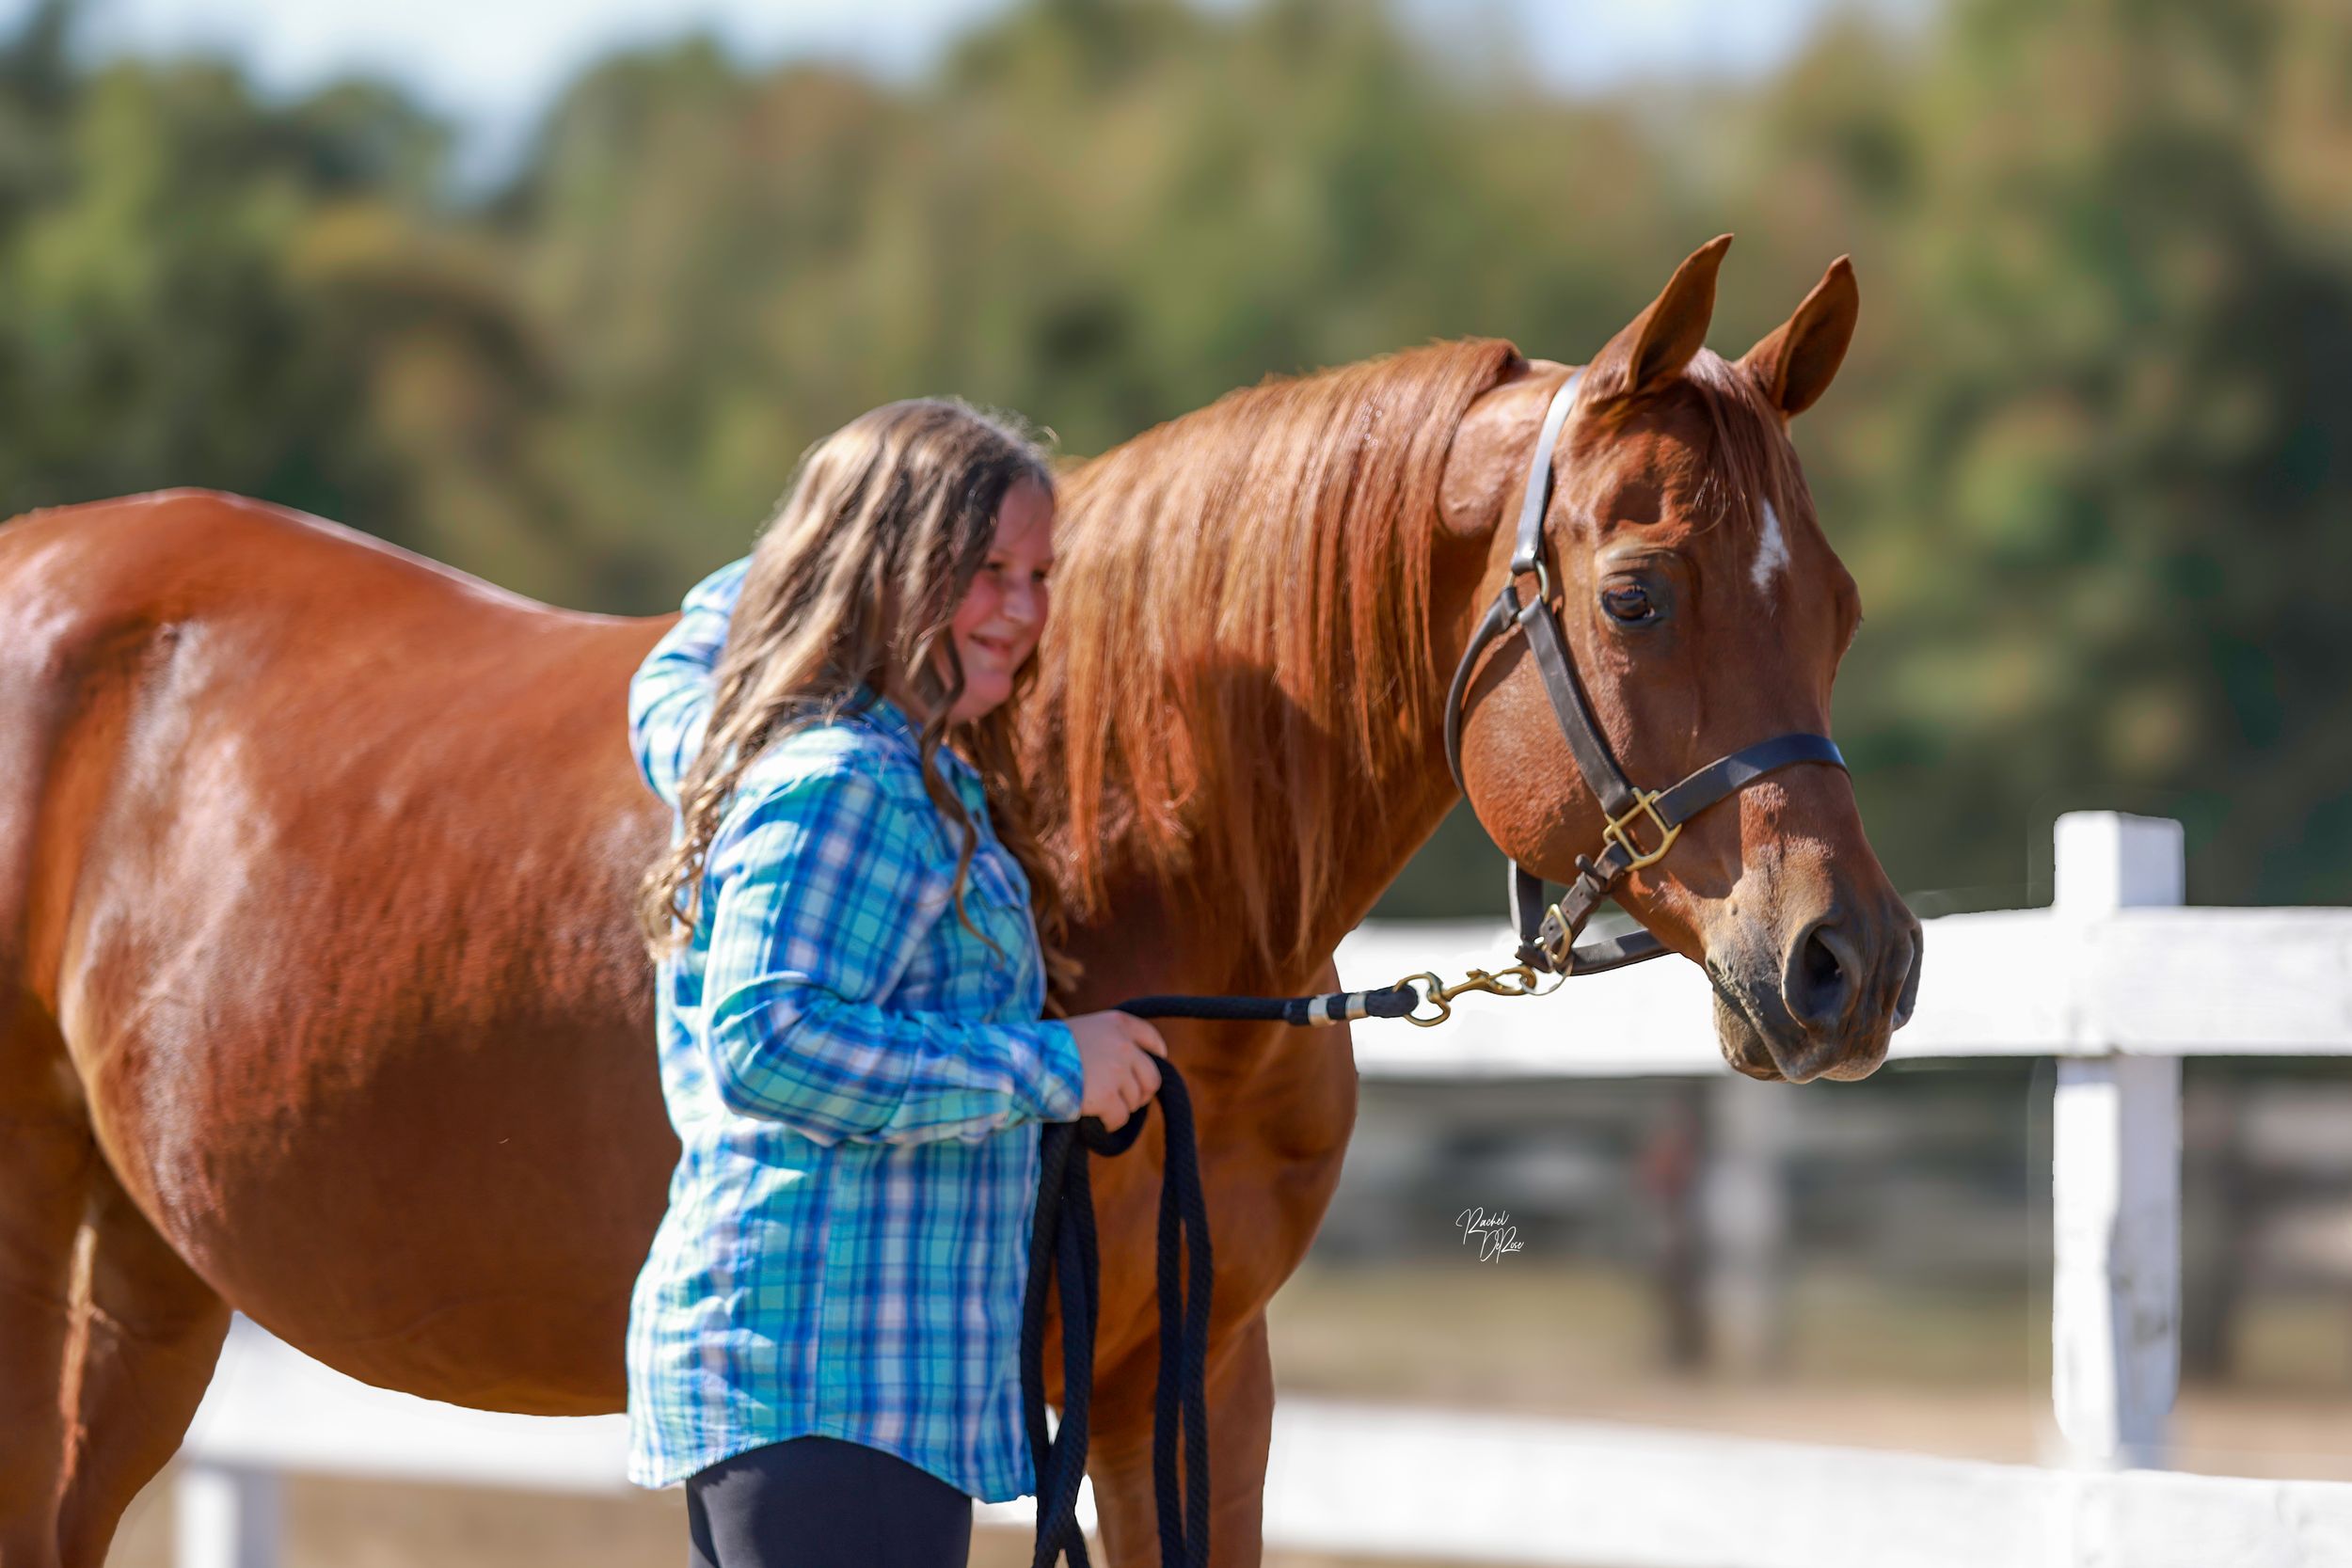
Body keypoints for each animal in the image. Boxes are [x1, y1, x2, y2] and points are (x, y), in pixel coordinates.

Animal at [0, 236, 1918, 1567]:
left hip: (141, 1288)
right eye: (1640, 592)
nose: (1851, 963)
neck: (1099, 838)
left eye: (1835, 599)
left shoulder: (1186, 1374)